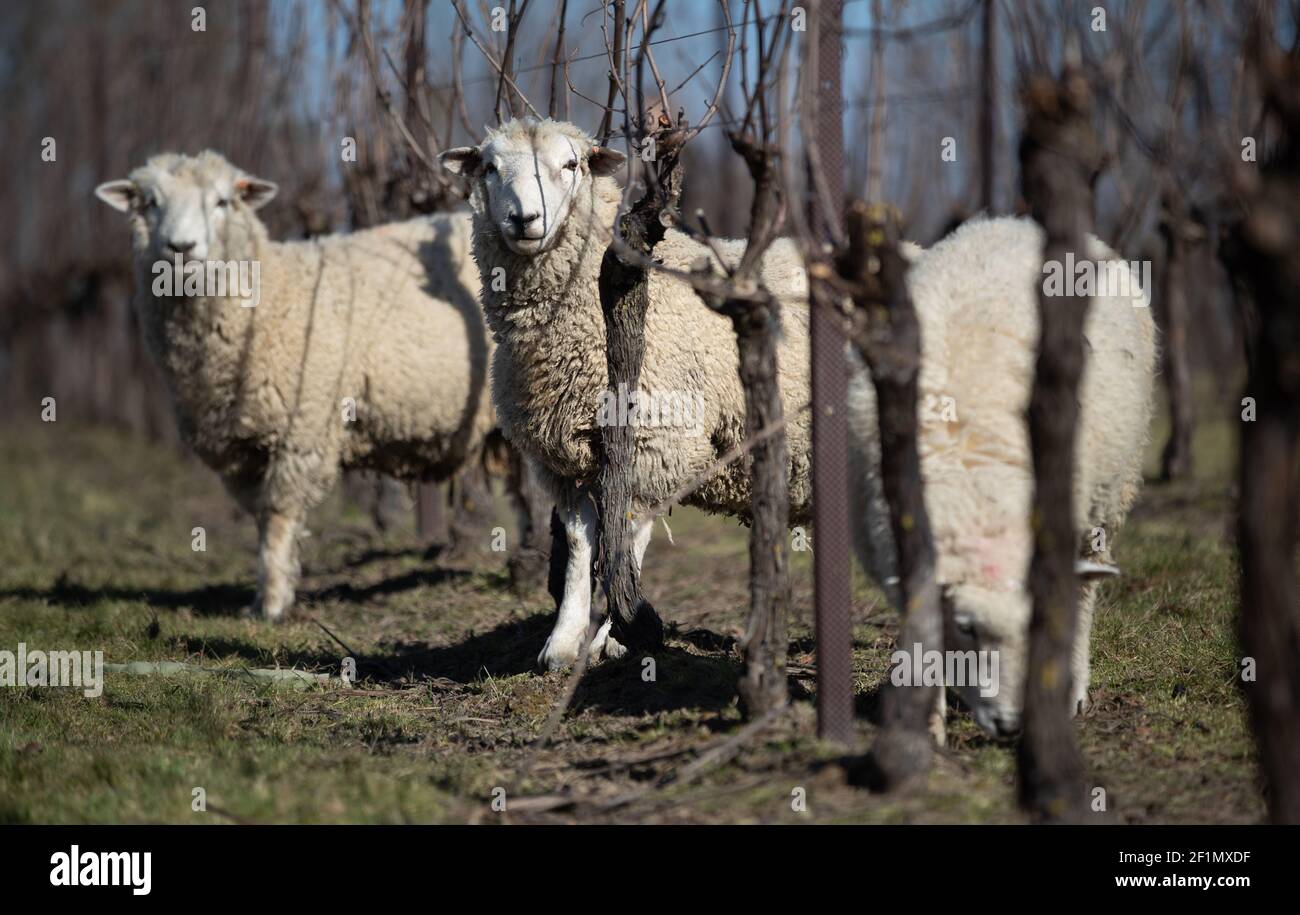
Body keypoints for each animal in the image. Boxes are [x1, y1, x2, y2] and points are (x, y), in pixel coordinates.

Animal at [95, 150, 495, 620]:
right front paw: (268, 592)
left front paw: (270, 605)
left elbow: (278, 514)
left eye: (222, 202)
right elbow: (259, 517)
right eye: (150, 202)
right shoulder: (239, 451)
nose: (181, 249)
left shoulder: (302, 429)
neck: (267, 298)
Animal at [438, 118, 815, 670]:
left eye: (571, 164)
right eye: (489, 166)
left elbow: (626, 537)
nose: (524, 219)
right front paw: (562, 643)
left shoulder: (651, 444)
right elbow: (580, 546)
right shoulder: (565, 458)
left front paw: (613, 636)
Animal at [848, 215, 1156, 737]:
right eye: (967, 628)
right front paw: (927, 724)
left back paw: (1074, 687)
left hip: (1108, 496)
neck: (978, 491)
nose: (1012, 725)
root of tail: (1011, 220)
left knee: (1086, 589)